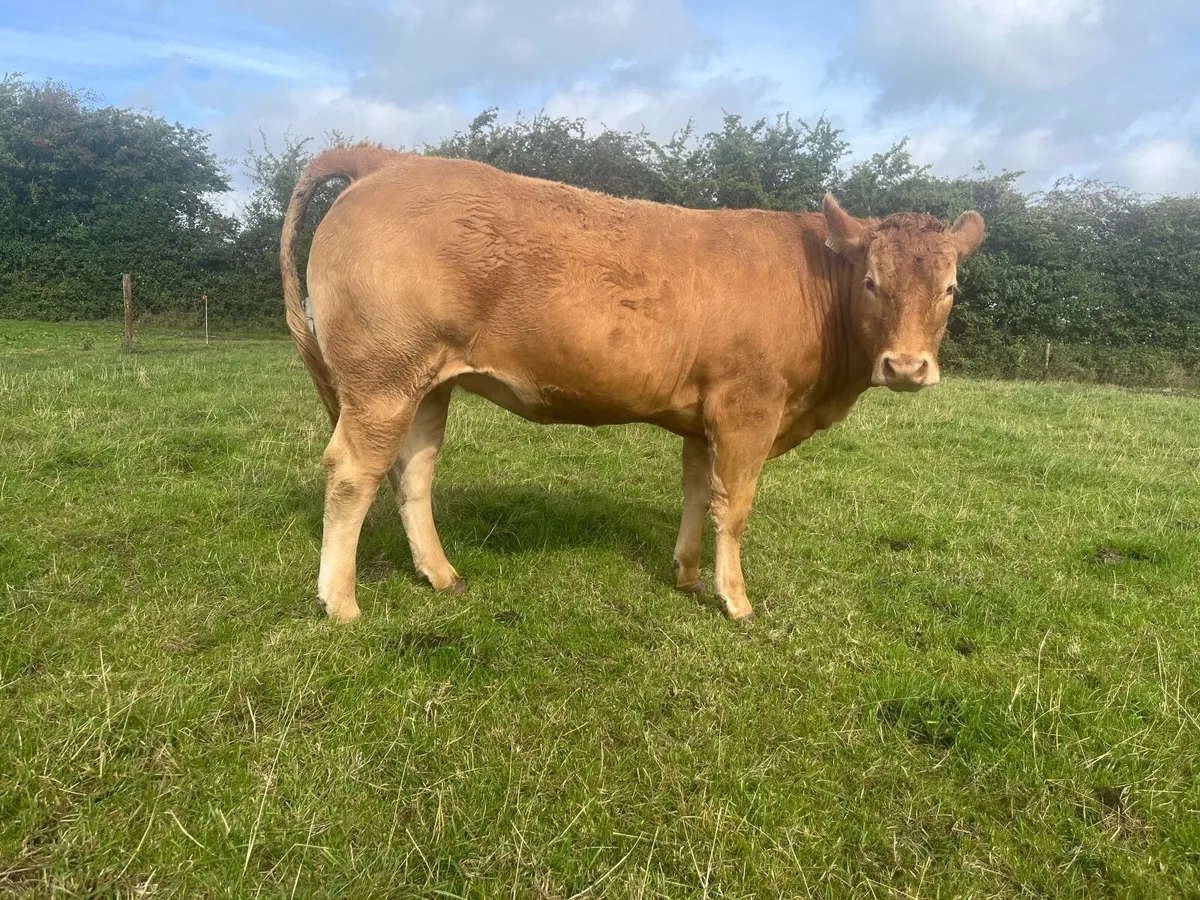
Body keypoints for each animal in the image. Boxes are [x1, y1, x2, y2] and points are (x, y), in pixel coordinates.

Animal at [279, 144, 984, 625]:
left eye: (950, 288)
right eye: (871, 281)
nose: (906, 367)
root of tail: (386, 160)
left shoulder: (704, 416)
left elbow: (699, 496)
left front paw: (689, 577)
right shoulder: (748, 407)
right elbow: (736, 505)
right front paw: (736, 601)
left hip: (426, 384)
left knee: (413, 473)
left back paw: (441, 574)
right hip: (382, 380)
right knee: (352, 473)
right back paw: (340, 603)